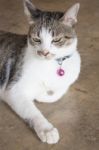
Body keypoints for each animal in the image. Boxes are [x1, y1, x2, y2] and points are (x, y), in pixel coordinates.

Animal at [0, 0, 80, 144]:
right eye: (37, 39)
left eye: (56, 40)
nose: (44, 52)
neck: (51, 64)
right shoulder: (13, 89)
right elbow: (32, 111)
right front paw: (47, 129)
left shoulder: (67, 80)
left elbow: (57, 93)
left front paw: (42, 93)